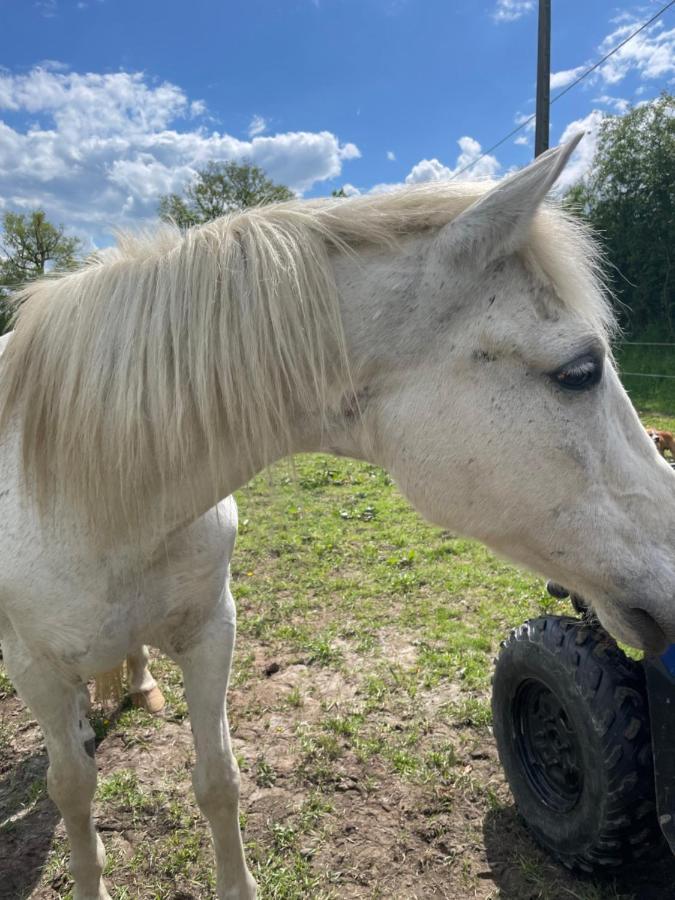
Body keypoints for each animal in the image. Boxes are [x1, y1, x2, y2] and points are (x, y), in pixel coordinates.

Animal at [1, 135, 675, 900]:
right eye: (579, 371)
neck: (96, 511)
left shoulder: (211, 632)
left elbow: (218, 780)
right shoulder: (33, 669)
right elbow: (73, 793)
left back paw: (138, 685)